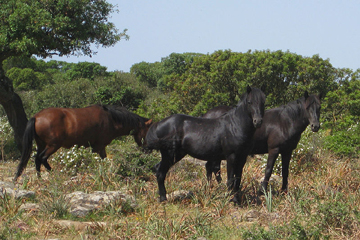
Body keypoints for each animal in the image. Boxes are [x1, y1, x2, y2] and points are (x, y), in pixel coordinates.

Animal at [13, 104, 152, 181]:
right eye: (147, 132)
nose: (148, 151)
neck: (111, 119)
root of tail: (36, 117)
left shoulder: (96, 148)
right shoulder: (99, 147)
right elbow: (101, 161)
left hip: (41, 144)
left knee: (37, 159)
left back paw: (39, 178)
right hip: (53, 146)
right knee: (42, 158)